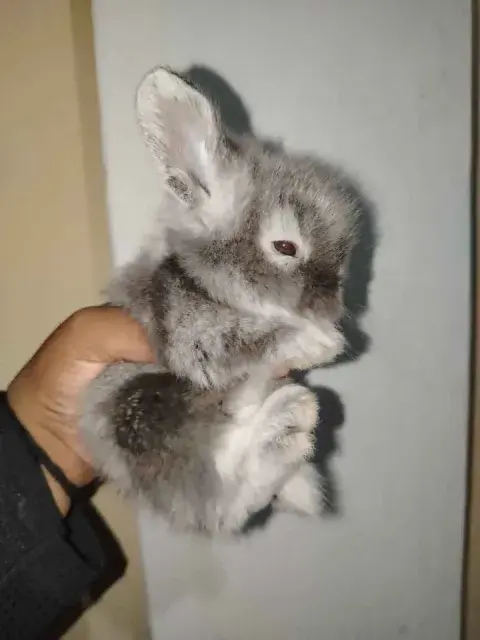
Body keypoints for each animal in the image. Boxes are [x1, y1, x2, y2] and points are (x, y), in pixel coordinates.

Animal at [79, 67, 358, 534]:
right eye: (285, 247)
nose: (331, 305)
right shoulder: (190, 332)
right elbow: (250, 340)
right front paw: (323, 343)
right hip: (137, 410)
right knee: (226, 496)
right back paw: (287, 420)